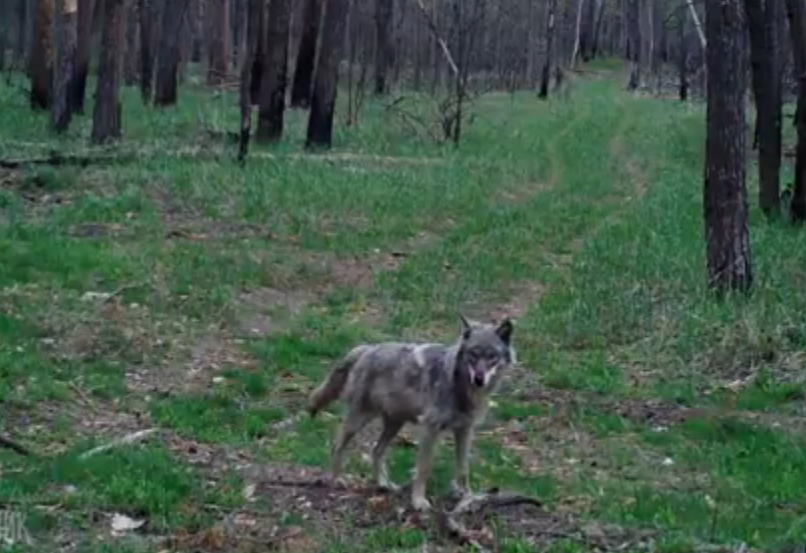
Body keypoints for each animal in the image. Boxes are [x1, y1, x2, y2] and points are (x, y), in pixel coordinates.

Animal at [304, 314, 516, 508]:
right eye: (473, 354)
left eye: (491, 356)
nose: (479, 379)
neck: (461, 388)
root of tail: (367, 348)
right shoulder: (430, 428)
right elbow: (423, 469)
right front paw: (418, 501)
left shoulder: (465, 430)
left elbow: (463, 469)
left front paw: (467, 497)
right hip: (360, 419)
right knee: (337, 445)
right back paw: (335, 479)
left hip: (395, 423)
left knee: (376, 450)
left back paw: (384, 484)